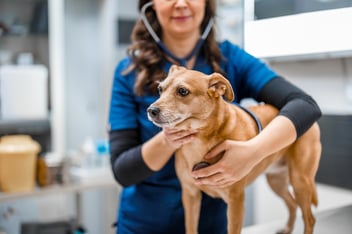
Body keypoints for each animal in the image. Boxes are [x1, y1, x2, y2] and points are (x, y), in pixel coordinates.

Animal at [146, 64, 322, 234]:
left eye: (182, 91)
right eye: (160, 89)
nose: (151, 110)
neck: (199, 142)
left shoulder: (235, 200)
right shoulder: (190, 195)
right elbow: (191, 228)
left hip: (300, 180)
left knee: (310, 218)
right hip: (276, 181)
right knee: (292, 204)